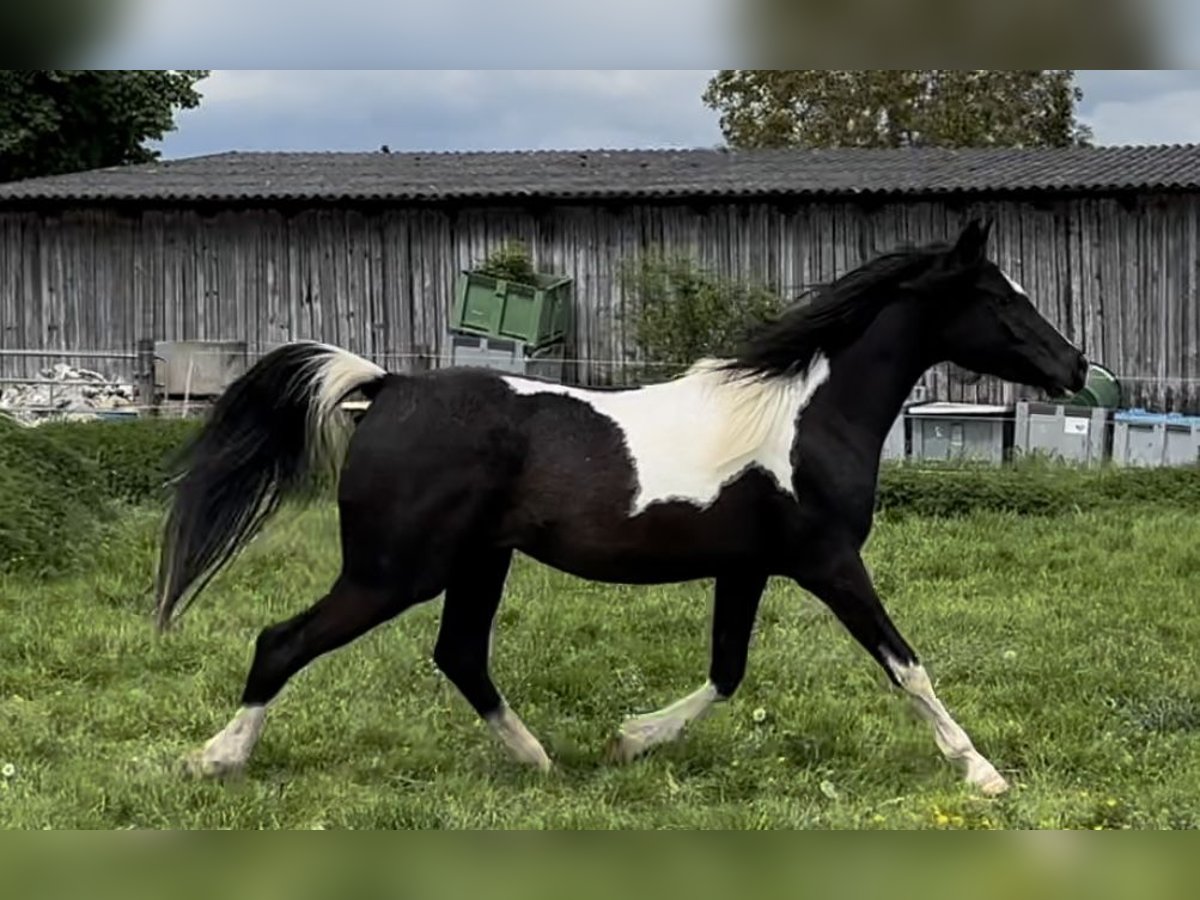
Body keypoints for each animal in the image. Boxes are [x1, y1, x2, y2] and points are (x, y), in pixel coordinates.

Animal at [152, 218, 1089, 796]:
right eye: (1000, 299)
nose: (1076, 366)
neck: (804, 416)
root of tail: (390, 387)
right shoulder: (828, 562)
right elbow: (906, 663)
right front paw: (982, 772)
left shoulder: (748, 568)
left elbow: (727, 671)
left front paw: (629, 740)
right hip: (393, 571)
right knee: (283, 642)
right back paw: (215, 759)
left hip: (476, 562)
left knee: (460, 655)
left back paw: (542, 762)